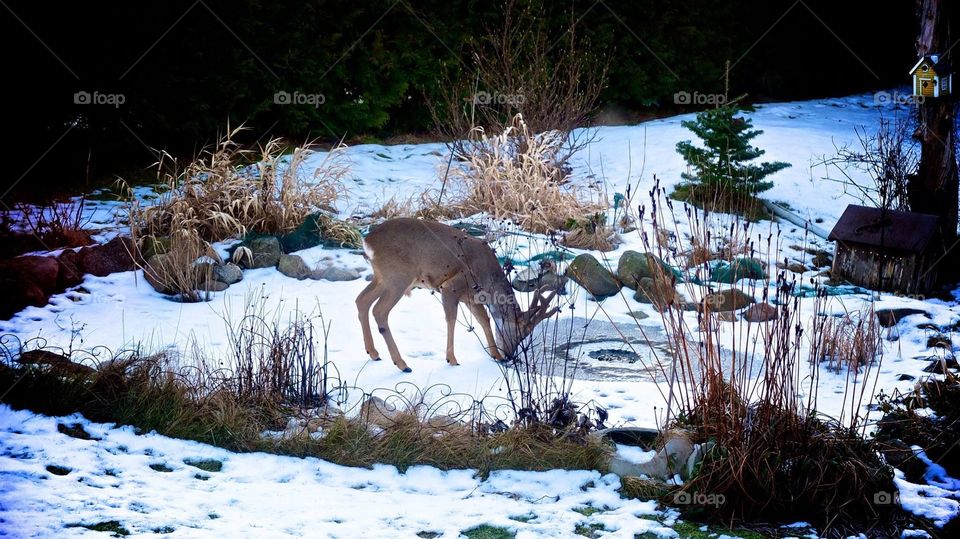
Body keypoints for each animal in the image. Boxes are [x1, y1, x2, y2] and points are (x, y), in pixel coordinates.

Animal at [356, 218, 559, 372]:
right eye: (520, 332)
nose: (509, 355)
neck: (488, 278)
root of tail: (367, 241)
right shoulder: (452, 286)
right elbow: (451, 319)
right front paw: (452, 359)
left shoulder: (470, 297)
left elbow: (484, 320)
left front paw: (496, 355)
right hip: (398, 276)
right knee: (379, 310)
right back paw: (402, 364)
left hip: (382, 277)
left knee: (361, 300)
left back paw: (373, 353)